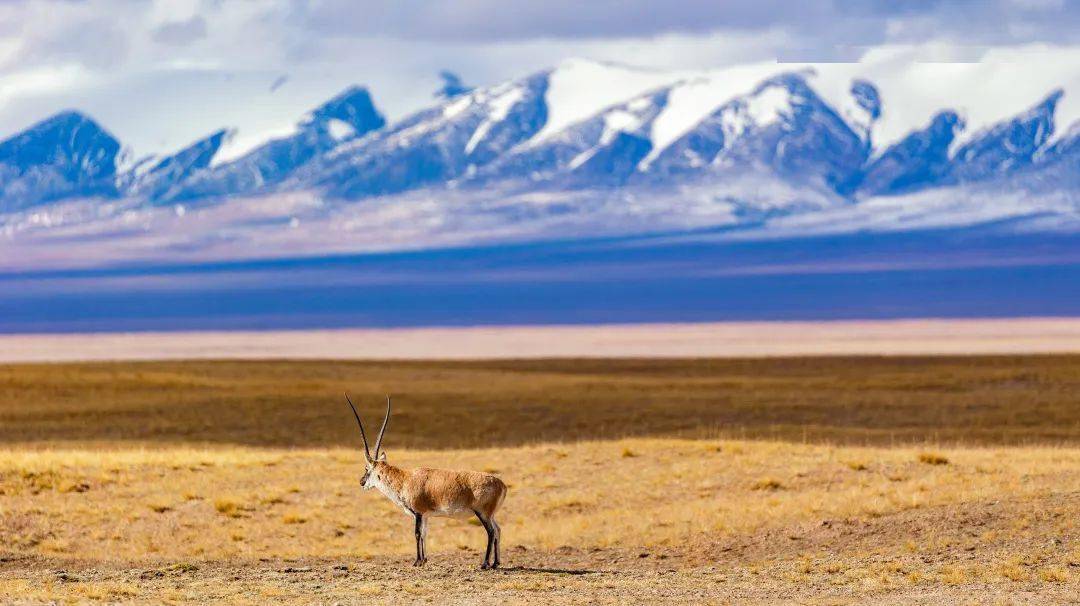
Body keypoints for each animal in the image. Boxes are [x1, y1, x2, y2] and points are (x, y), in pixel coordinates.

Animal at [349, 393, 509, 566]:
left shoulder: (418, 513)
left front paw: (417, 561)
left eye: (367, 468)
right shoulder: (425, 515)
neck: (404, 480)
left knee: (491, 532)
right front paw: (424, 560)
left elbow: (417, 534)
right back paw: (496, 563)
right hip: (491, 515)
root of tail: (501, 485)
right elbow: (425, 534)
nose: (361, 482)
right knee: (498, 530)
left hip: (482, 514)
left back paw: (485, 564)